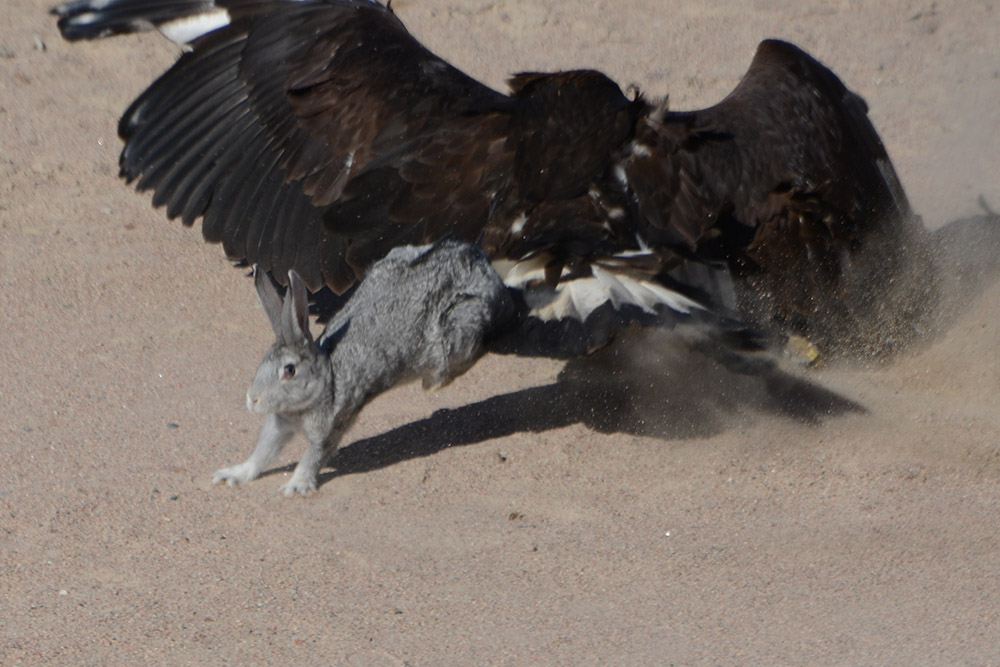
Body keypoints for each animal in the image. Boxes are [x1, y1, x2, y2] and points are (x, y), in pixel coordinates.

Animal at [213, 237, 515, 496]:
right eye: (262, 361)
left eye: (289, 370)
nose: (252, 399)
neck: (326, 380)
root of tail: (480, 259)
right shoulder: (279, 426)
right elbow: (261, 454)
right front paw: (232, 474)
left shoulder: (329, 427)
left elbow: (312, 457)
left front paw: (295, 486)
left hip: (459, 329)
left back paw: (434, 382)